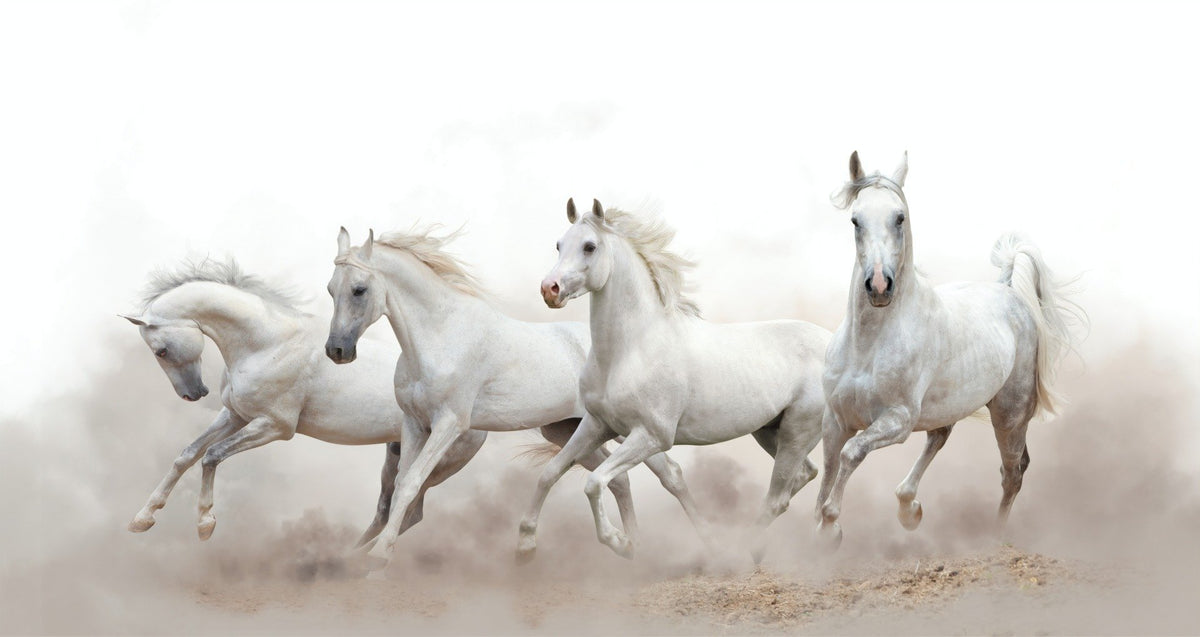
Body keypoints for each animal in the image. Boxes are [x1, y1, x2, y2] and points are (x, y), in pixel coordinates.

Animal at [121, 259, 488, 546]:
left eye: (161, 351)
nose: (194, 393)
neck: (268, 343)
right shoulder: (235, 416)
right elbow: (186, 455)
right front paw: (142, 519)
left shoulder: (275, 426)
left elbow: (211, 456)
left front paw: (205, 524)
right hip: (396, 455)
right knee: (389, 509)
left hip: (435, 465)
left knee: (409, 511)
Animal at [324, 226, 702, 574]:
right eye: (330, 289)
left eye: (359, 289)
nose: (337, 351)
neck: (441, 337)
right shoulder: (414, 424)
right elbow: (403, 483)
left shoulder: (449, 424)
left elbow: (410, 485)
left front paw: (378, 557)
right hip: (569, 430)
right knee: (618, 480)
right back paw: (630, 547)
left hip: (627, 428)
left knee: (670, 473)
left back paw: (703, 543)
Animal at [532, 199, 831, 562]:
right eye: (559, 244)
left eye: (590, 246)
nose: (550, 289)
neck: (630, 351)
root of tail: (834, 344)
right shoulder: (596, 424)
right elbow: (550, 473)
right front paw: (524, 545)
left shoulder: (651, 436)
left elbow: (595, 483)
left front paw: (622, 544)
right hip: (768, 430)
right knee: (802, 477)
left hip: (797, 433)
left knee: (778, 497)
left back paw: (741, 553)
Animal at [815, 151, 1081, 546]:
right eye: (855, 219)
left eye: (899, 217)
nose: (879, 285)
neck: (868, 346)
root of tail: (1007, 290)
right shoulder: (835, 419)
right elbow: (829, 470)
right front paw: (820, 530)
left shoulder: (897, 420)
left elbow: (851, 454)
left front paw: (831, 525)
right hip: (951, 404)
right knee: (940, 437)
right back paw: (909, 508)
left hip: (1010, 413)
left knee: (1013, 471)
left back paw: (992, 538)